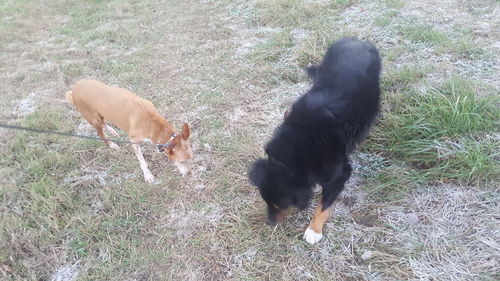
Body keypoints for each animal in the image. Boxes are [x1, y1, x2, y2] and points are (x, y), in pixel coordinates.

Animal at [248, 37, 380, 243]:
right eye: (266, 201)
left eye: (280, 205)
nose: (270, 223)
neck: (299, 147)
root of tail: (357, 40)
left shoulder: (339, 173)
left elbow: (324, 205)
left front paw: (314, 230)